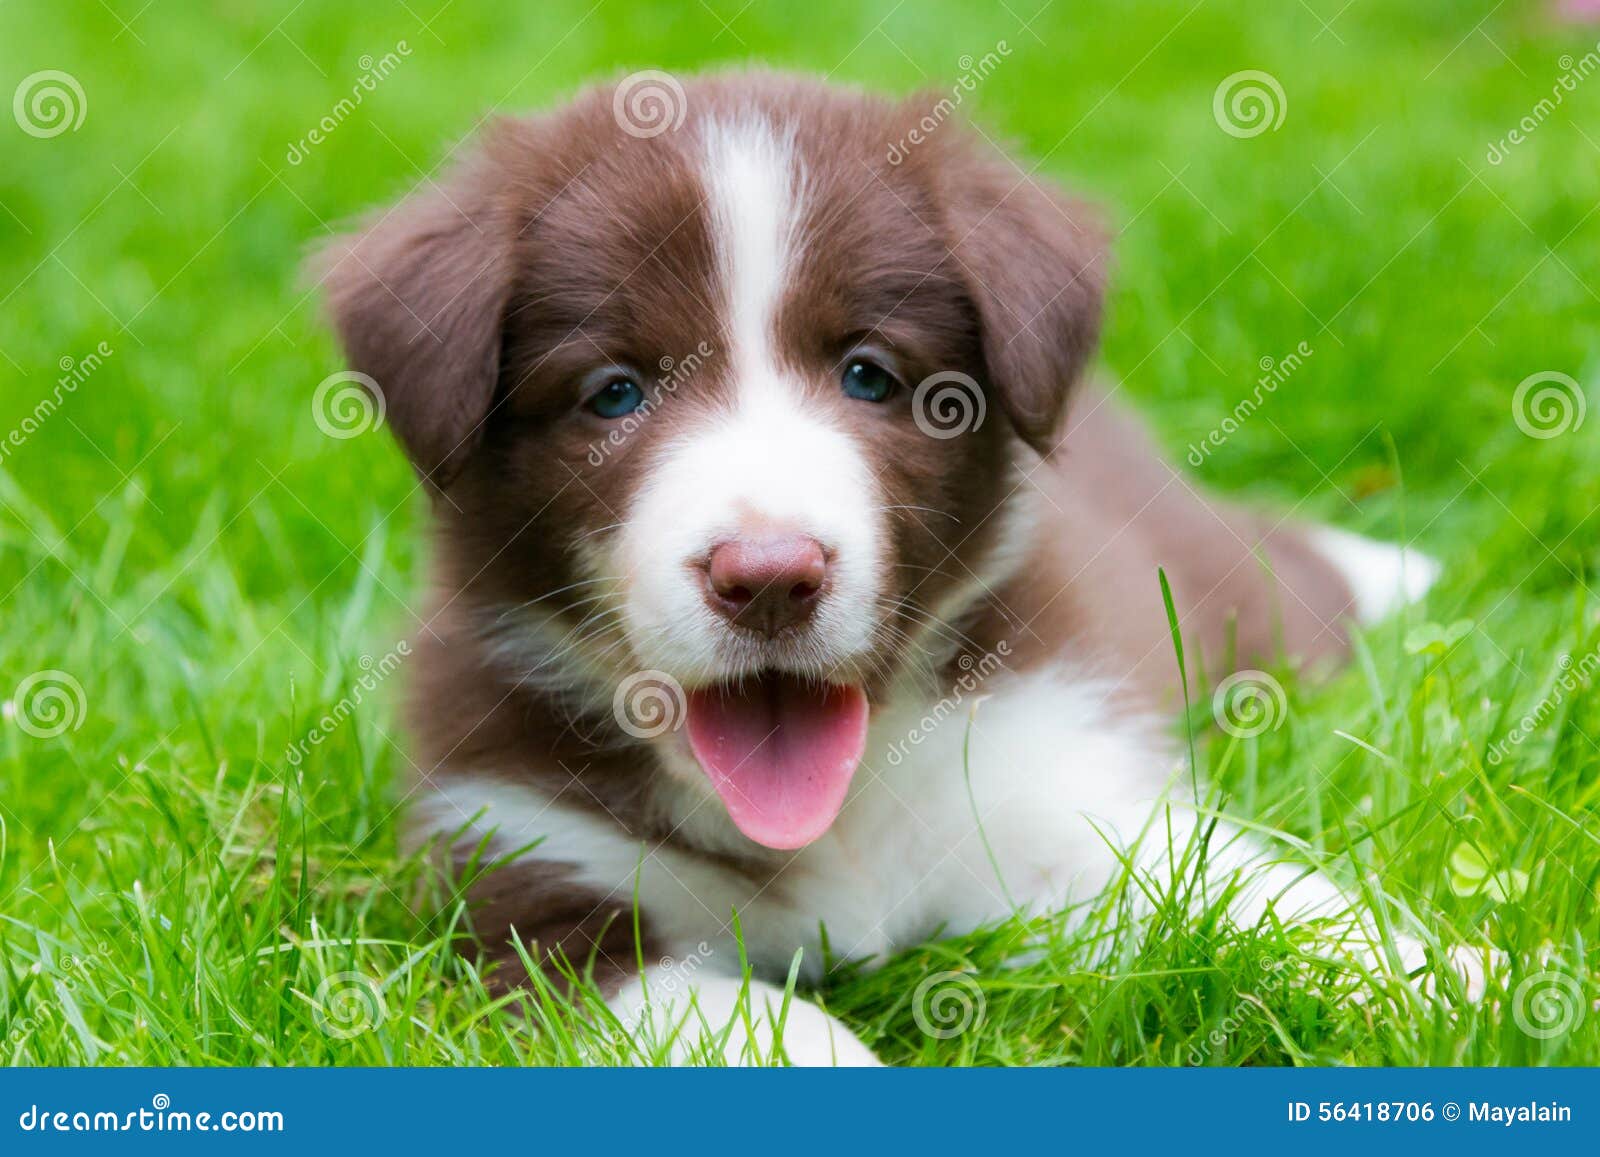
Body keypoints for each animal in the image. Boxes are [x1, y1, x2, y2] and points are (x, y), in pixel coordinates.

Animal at [318, 72, 1465, 1068]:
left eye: (868, 375)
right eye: (613, 392)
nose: (769, 575)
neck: (837, 822)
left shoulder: (1056, 776)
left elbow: (1252, 894)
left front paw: (1450, 978)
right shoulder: (521, 883)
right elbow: (728, 1015)